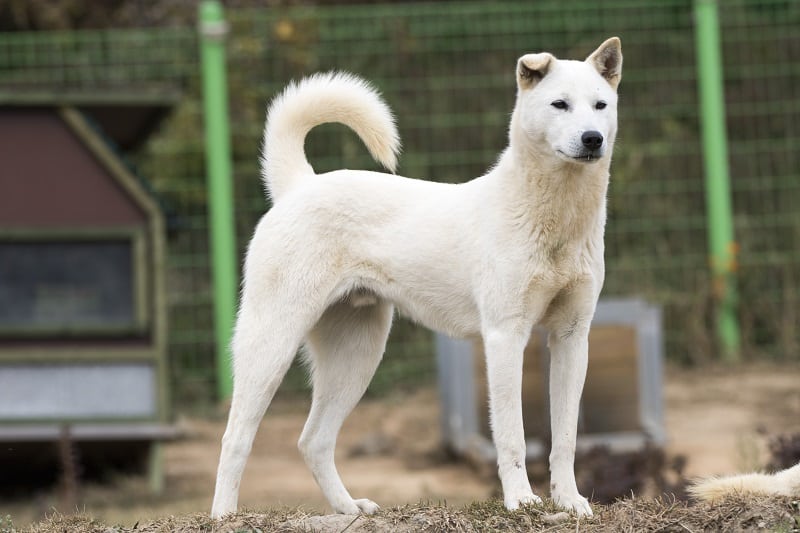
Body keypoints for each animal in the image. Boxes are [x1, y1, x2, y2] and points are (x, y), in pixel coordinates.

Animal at [209, 38, 620, 520]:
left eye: (600, 105)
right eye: (560, 104)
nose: (592, 139)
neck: (554, 221)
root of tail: (300, 186)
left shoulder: (572, 338)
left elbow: (566, 437)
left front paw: (570, 501)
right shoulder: (505, 337)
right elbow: (513, 437)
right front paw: (520, 501)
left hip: (356, 356)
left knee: (313, 441)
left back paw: (350, 508)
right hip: (271, 345)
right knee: (235, 437)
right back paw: (224, 516)